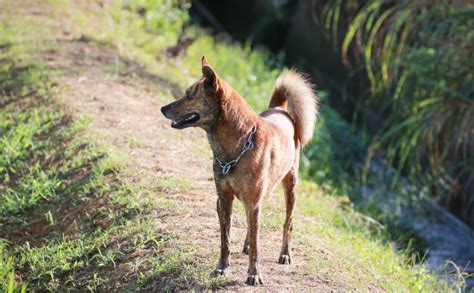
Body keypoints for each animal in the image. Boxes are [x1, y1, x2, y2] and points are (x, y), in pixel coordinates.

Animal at [160, 56, 318, 284]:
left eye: (189, 95)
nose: (163, 108)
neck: (240, 142)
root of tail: (279, 109)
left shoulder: (252, 201)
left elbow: (257, 244)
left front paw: (254, 274)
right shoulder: (224, 199)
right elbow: (225, 240)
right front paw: (222, 268)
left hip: (290, 186)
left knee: (287, 222)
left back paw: (285, 254)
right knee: (252, 227)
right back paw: (247, 245)